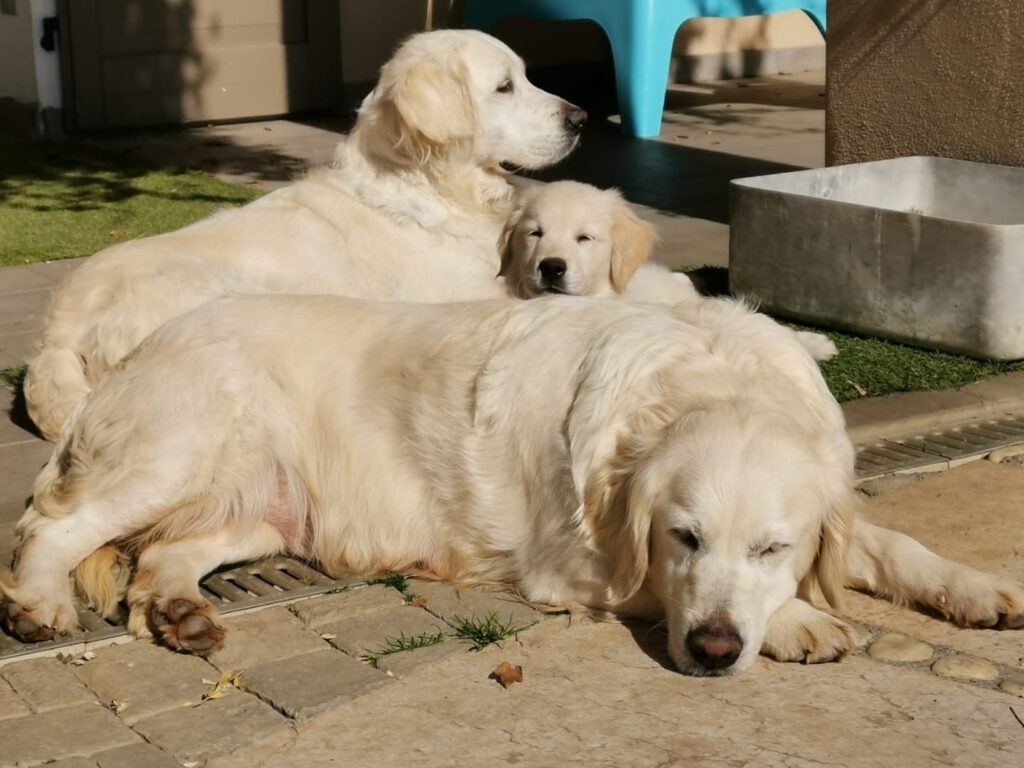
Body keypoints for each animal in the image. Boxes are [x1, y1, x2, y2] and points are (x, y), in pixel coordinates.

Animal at [6, 296, 1015, 675]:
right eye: (683, 536)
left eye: (775, 545)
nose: (716, 648)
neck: (707, 377)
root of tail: (147, 341)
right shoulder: (573, 564)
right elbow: (660, 587)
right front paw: (802, 621)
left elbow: (890, 543)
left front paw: (976, 588)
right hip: (179, 446)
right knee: (51, 527)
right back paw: (40, 606)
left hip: (262, 511)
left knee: (161, 559)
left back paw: (179, 612)